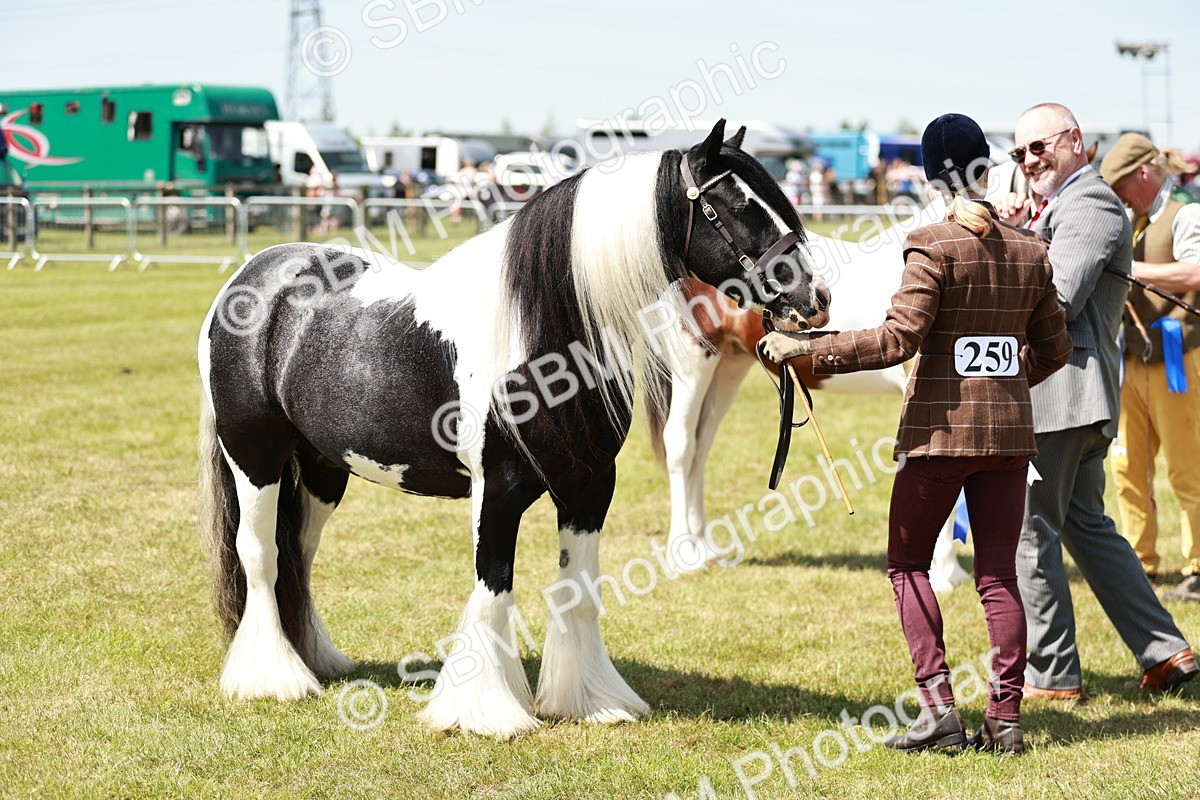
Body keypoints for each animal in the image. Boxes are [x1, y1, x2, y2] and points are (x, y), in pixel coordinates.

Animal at [197, 119, 830, 739]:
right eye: (734, 206)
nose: (815, 298)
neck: (542, 336)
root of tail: (254, 275)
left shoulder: (590, 486)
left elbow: (578, 590)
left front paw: (588, 701)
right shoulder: (496, 491)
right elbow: (493, 588)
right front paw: (484, 713)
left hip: (324, 468)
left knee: (297, 555)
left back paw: (315, 660)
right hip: (255, 458)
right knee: (260, 553)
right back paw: (274, 677)